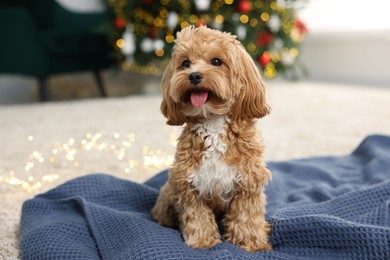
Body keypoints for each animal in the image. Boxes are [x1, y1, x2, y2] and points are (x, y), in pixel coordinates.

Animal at [151, 26, 272, 252]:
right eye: (185, 63)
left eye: (216, 61)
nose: (194, 76)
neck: (213, 122)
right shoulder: (189, 185)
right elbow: (197, 217)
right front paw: (203, 242)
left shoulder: (248, 184)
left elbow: (246, 218)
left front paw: (250, 244)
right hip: (168, 194)